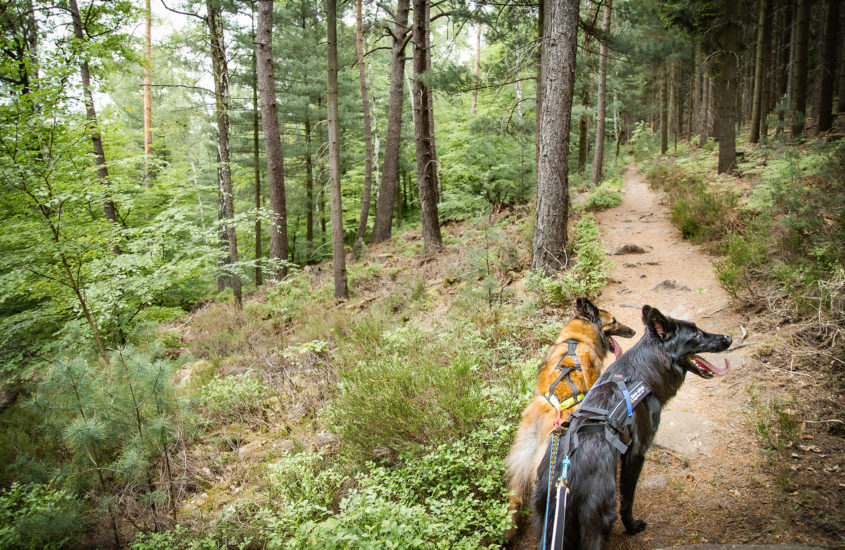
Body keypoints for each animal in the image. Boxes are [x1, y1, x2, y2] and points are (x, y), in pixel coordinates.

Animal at [536, 306, 732, 550]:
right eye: (695, 334)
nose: (729, 338)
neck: (642, 374)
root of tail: (565, 478)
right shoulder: (636, 455)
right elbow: (627, 500)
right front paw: (632, 527)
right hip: (597, 522)